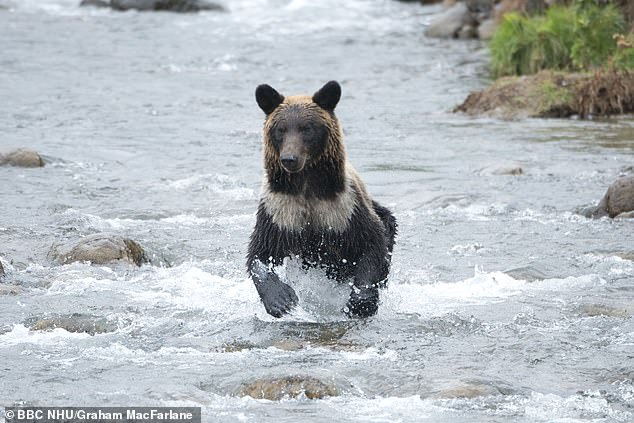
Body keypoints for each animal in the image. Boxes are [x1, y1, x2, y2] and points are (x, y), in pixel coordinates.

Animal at [247, 81, 396, 318]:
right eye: (281, 129)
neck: (306, 185)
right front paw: (282, 300)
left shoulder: (345, 208)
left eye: (307, 128)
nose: (289, 158)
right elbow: (261, 252)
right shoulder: (279, 209)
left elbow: (372, 245)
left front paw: (360, 302)